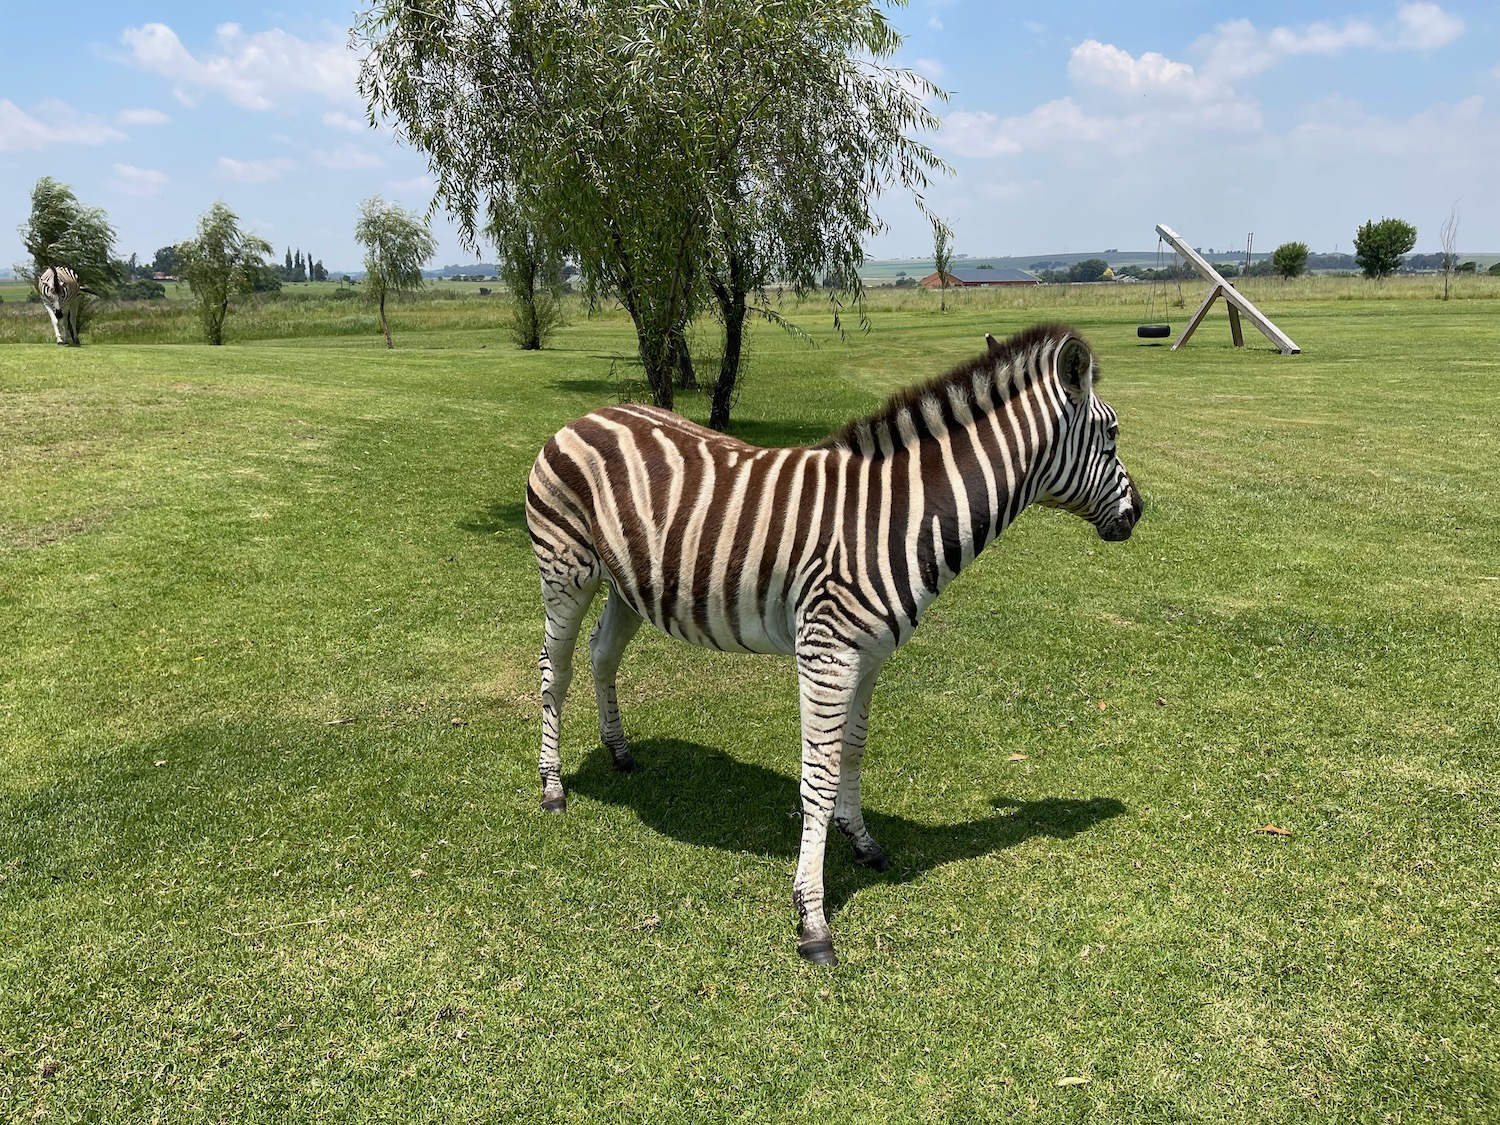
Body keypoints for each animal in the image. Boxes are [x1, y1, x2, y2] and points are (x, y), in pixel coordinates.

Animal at [522, 321, 1140, 966]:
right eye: (1113, 433)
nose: (1138, 513)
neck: (898, 518)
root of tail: (588, 415)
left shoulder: (869, 657)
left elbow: (853, 751)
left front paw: (862, 840)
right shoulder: (828, 654)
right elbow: (817, 777)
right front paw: (812, 918)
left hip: (628, 584)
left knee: (602, 655)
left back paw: (619, 752)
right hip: (566, 570)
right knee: (555, 667)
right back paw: (552, 787)